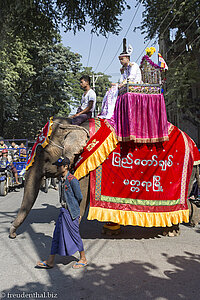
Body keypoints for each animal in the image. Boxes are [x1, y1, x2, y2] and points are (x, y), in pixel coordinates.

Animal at [9, 116, 200, 238]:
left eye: (44, 156)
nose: (12, 234)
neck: (73, 123)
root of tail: (193, 143)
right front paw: (110, 230)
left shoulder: (87, 160)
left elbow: (81, 197)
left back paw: (172, 231)